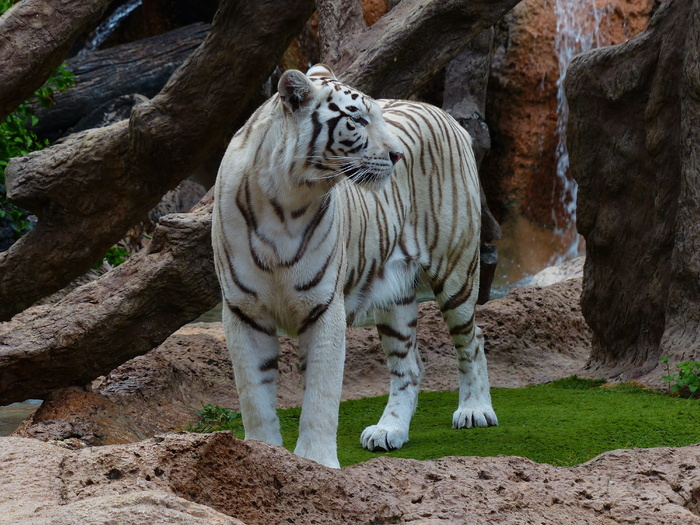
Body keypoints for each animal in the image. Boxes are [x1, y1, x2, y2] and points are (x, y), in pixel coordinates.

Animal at [212, 63, 498, 468]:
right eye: (358, 120)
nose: (397, 155)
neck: (285, 203)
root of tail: (440, 111)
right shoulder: (243, 311)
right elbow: (255, 397)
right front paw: (262, 456)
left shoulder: (323, 305)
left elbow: (321, 395)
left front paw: (316, 463)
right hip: (395, 296)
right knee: (410, 365)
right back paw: (390, 430)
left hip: (456, 269)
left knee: (472, 340)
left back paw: (475, 410)